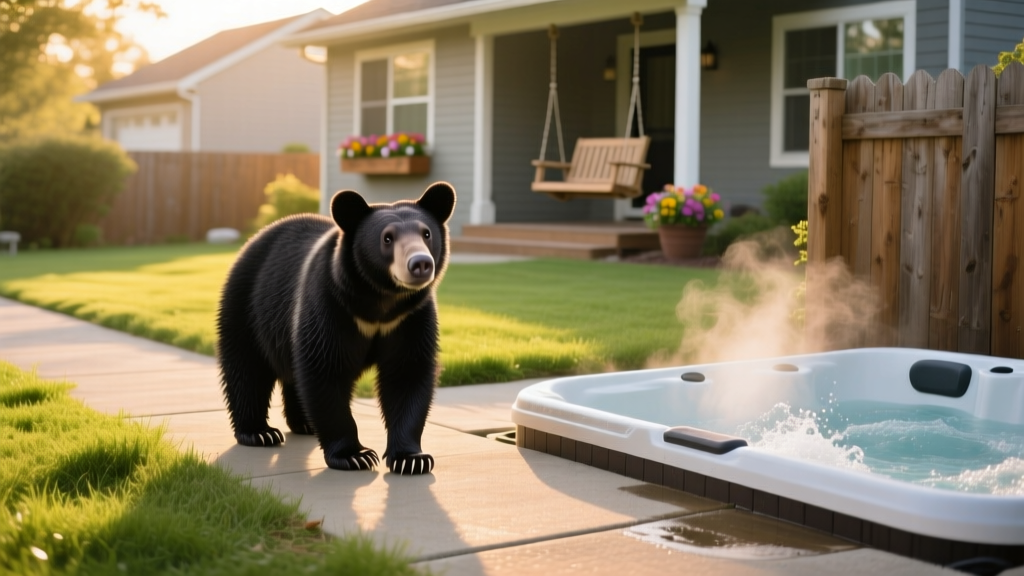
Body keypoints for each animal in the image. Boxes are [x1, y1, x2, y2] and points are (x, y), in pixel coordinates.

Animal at [216, 181, 456, 475]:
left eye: (426, 233)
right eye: (387, 238)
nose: (420, 263)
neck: (380, 302)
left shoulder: (410, 317)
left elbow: (407, 373)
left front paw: (411, 459)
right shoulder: (330, 303)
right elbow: (326, 370)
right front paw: (355, 455)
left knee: (291, 373)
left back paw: (304, 423)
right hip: (247, 304)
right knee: (247, 368)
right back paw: (259, 432)